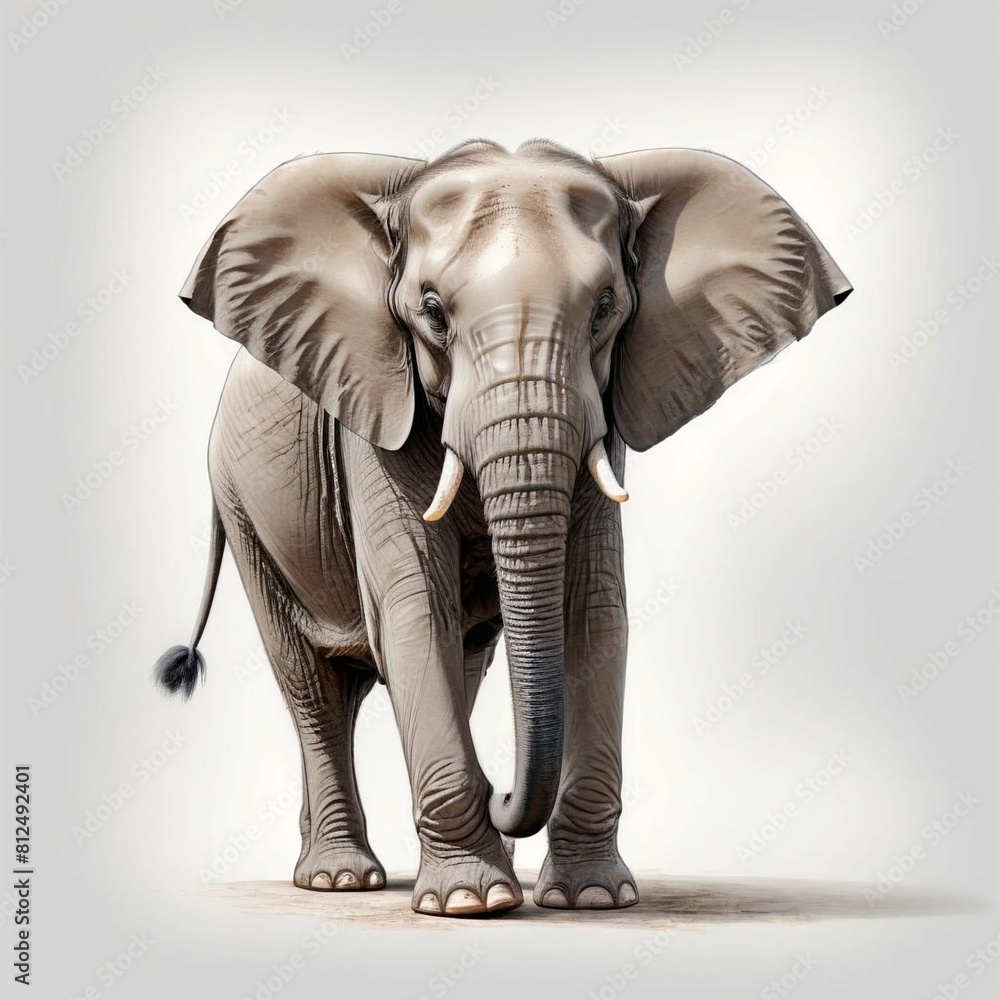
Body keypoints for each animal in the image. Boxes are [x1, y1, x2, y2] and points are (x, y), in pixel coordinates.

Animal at [154, 138, 851, 918]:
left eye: (605, 308)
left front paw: (592, 898)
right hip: (241, 507)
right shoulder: (376, 404)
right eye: (431, 312)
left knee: (449, 667)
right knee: (313, 689)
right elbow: (413, 603)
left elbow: (593, 609)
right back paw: (341, 878)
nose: (505, 790)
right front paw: (469, 902)